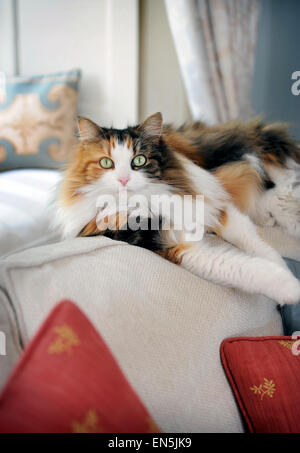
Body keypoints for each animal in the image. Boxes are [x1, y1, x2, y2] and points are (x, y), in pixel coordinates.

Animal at [55, 112, 300, 304]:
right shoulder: (168, 244)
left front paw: (283, 267)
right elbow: (243, 268)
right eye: (106, 163)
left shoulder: (215, 207)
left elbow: (258, 245)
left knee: (276, 186)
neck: (148, 201)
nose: (124, 179)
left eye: (139, 160)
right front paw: (291, 288)